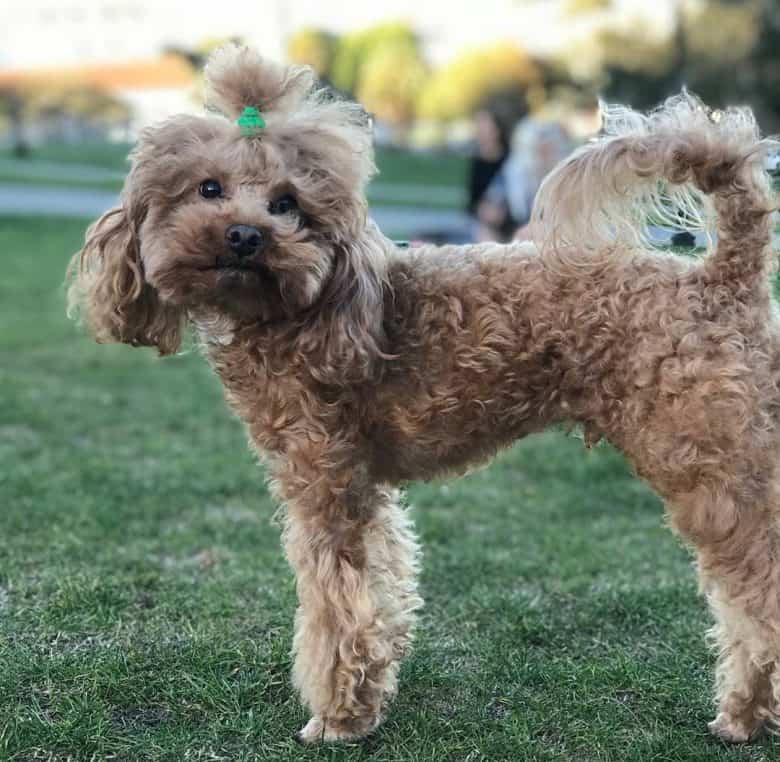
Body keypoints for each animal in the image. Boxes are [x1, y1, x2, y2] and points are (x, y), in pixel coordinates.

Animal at [67, 43, 780, 744]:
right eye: (208, 189)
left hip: (712, 464)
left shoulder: (324, 482)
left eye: (287, 203)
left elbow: (335, 602)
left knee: (758, 592)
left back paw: (742, 715)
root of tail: (722, 278)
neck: (306, 313)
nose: (245, 236)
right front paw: (369, 693)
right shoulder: (362, 488)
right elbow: (377, 589)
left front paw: (338, 718)